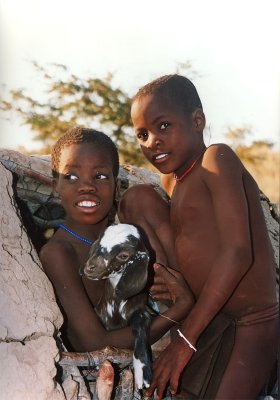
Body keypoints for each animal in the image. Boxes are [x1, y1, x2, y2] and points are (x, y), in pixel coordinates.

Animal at [81, 223, 153, 390]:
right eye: (100, 242)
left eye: (123, 255)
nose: (90, 267)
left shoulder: (142, 311)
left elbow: (140, 326)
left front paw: (142, 369)